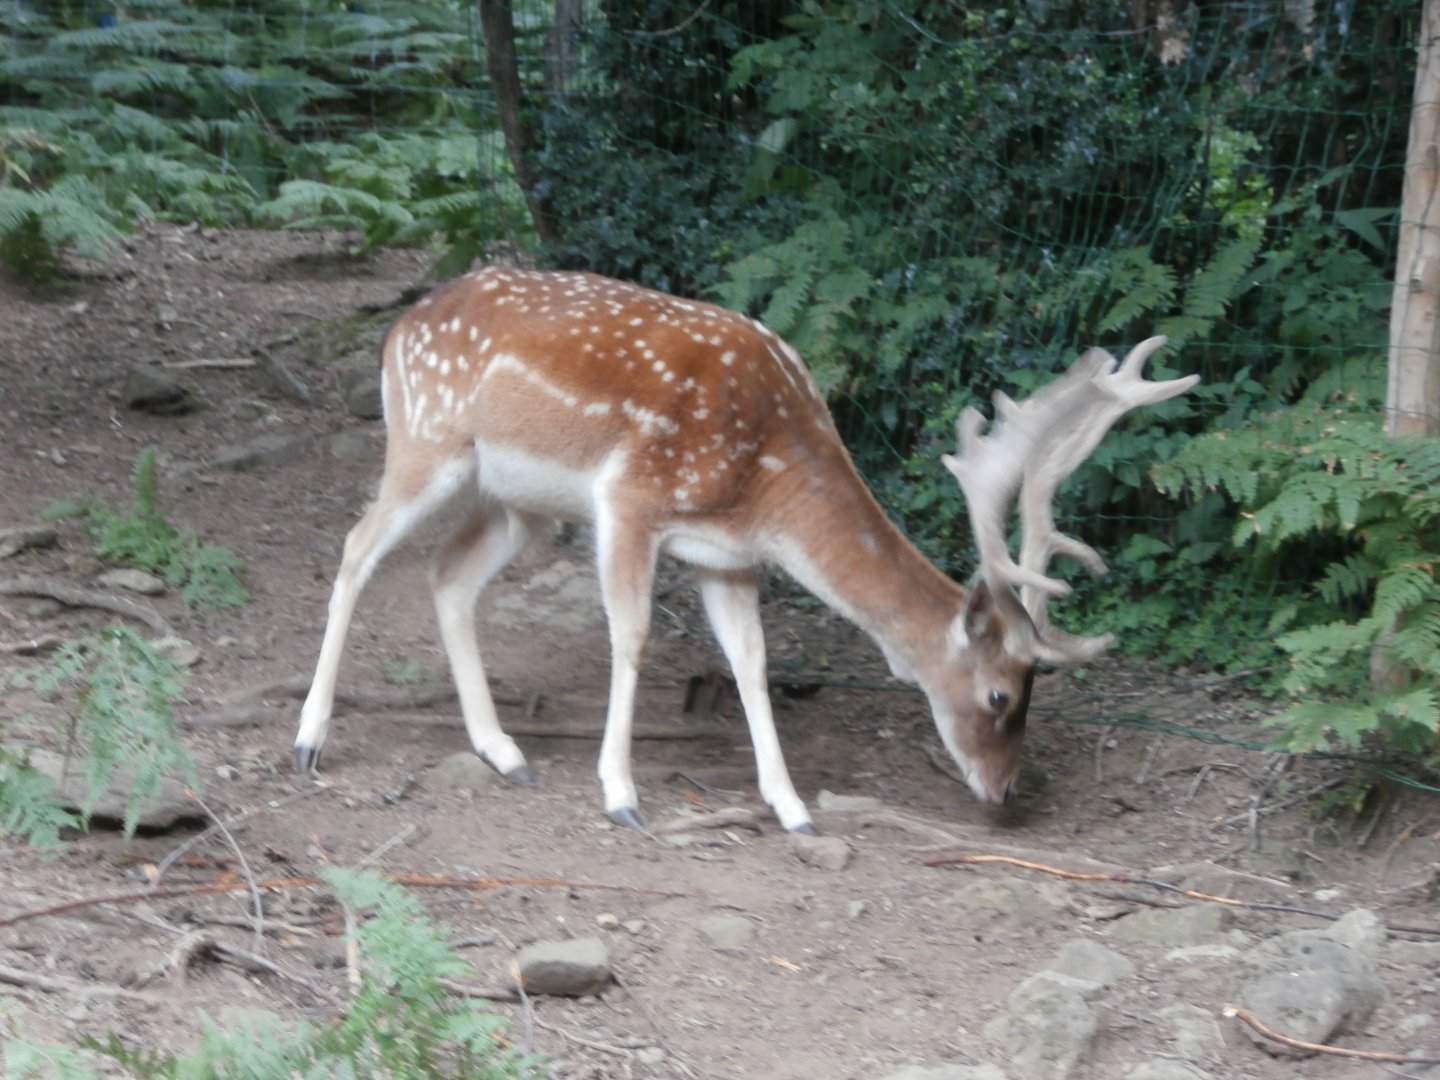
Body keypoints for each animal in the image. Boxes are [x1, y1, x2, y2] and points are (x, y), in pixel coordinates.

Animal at [293, 267, 1198, 834]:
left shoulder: (726, 556)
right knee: (356, 548)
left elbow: (752, 662)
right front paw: (620, 793)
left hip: (517, 503)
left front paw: (791, 807)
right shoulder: (631, 500)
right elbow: (631, 638)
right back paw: (309, 739)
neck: (767, 483)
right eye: (1002, 694)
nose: (1006, 790)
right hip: (427, 441)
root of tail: (398, 328)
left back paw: (503, 749)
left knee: (447, 575)